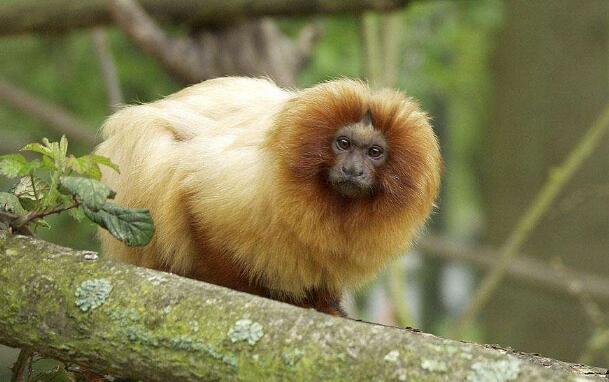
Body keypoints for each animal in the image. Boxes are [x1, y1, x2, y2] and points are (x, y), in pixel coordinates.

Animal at [95, 76, 440, 314]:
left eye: (374, 152)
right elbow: (194, 198)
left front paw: (325, 304)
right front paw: (245, 290)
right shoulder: (251, 183)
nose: (353, 169)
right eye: (343, 144)